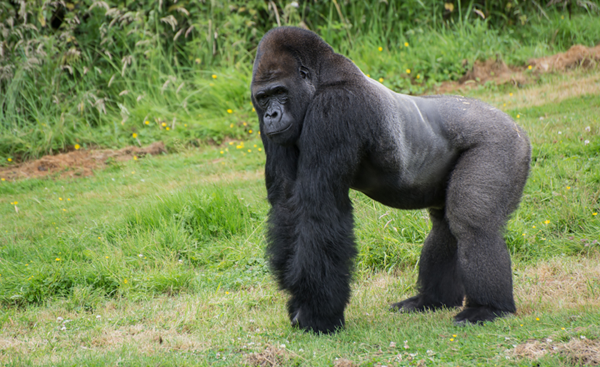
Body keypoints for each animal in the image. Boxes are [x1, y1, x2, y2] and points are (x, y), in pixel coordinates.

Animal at [251, 27, 532, 334]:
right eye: (263, 98)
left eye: (280, 92)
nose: (271, 115)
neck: (321, 77)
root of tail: (516, 125)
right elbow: (287, 203)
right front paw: (302, 303)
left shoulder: (335, 108)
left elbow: (319, 209)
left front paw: (317, 312)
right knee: (444, 226)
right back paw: (431, 299)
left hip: (501, 142)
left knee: (473, 224)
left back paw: (488, 307)